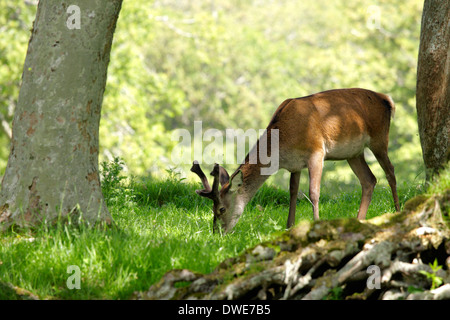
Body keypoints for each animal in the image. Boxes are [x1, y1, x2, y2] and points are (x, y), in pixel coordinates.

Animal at [192, 89, 400, 234]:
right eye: (212, 209)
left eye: (221, 208)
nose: (217, 233)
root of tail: (387, 100)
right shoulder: (294, 165)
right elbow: (293, 193)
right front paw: (289, 227)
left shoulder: (316, 152)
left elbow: (313, 192)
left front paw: (316, 223)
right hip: (354, 153)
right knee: (369, 180)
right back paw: (359, 220)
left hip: (379, 138)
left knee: (390, 172)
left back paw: (397, 211)